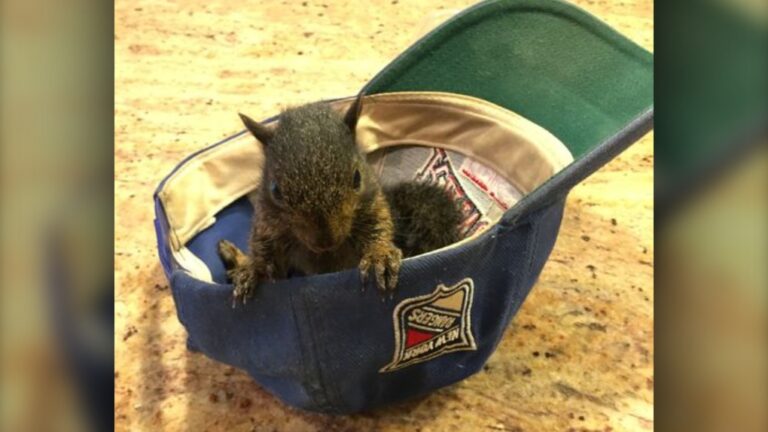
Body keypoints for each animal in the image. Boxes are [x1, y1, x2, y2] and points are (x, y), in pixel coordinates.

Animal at [218, 97, 462, 304]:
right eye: (275, 190)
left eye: (357, 178)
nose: (325, 241)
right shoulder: (267, 224)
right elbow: (264, 253)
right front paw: (252, 269)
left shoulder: (373, 206)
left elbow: (379, 228)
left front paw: (379, 255)